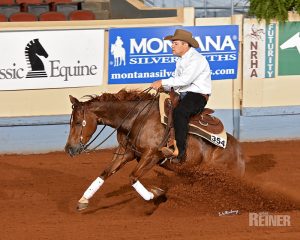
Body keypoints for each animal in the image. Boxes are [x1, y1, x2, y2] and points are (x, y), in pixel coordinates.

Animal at [64, 88, 245, 210]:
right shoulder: (126, 153)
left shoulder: (151, 156)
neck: (137, 118)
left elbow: (133, 177)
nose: (69, 149)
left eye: (78, 122)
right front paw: (83, 200)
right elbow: (104, 173)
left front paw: (155, 194)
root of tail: (239, 153)